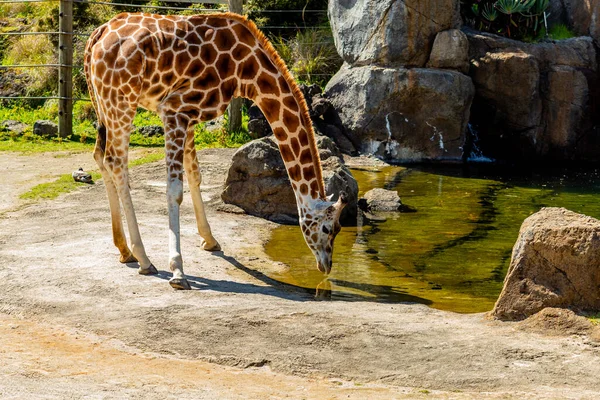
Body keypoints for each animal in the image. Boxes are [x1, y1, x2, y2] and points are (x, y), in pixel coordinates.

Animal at [84, 10, 346, 290]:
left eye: (339, 229)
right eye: (328, 229)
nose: (326, 266)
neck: (247, 71)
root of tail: (96, 36)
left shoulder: (187, 115)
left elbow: (195, 176)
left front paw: (209, 240)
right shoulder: (175, 108)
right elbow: (174, 190)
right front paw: (178, 271)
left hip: (104, 103)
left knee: (100, 156)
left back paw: (125, 251)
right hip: (122, 100)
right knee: (116, 162)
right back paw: (144, 258)